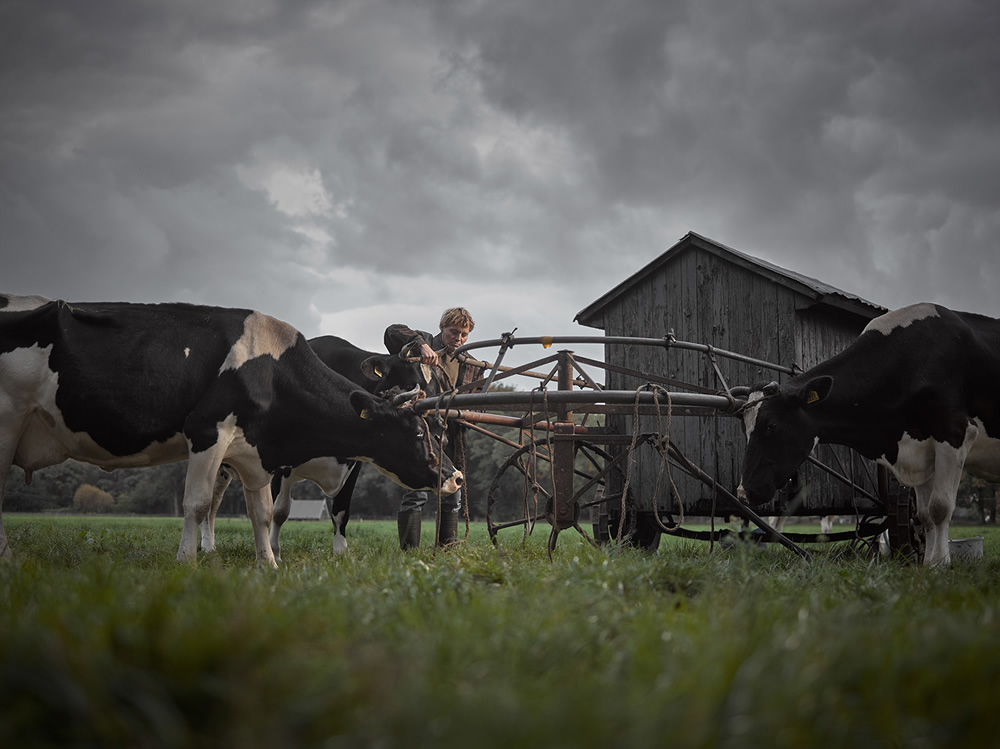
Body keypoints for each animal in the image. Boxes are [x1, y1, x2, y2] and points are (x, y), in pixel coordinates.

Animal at [199, 336, 446, 560]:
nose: (439, 425)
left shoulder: (353, 463)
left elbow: (341, 511)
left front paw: (341, 552)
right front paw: (275, 552)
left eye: (437, 382)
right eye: (413, 381)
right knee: (212, 501)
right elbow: (279, 511)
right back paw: (208, 545)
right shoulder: (278, 463)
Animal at [736, 300, 1000, 564]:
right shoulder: (921, 451)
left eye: (772, 425)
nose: (743, 493)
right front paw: (927, 563)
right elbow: (924, 514)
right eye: (743, 427)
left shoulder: (955, 431)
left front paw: (939, 563)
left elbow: (939, 507)